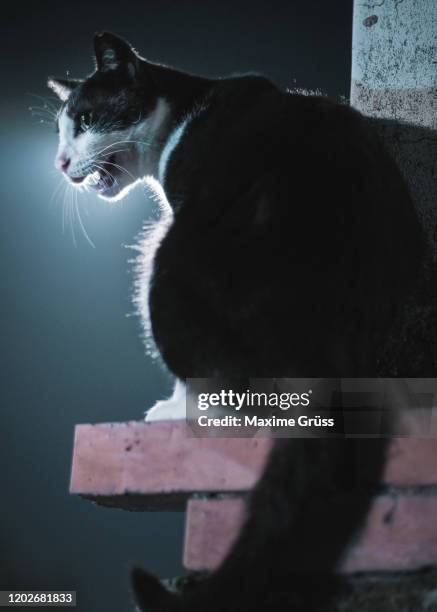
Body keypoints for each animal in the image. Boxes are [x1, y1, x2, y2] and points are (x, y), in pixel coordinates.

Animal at [48, 32, 422, 612]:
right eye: (61, 130)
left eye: (85, 120)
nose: (61, 162)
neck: (184, 113)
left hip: (165, 262)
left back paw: (173, 412)